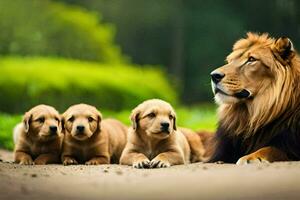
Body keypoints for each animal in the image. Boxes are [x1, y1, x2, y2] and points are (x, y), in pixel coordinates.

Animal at [209, 32, 300, 164]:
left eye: (251, 59)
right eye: (230, 60)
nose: (214, 75)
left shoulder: (291, 145)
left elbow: (271, 149)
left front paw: (251, 157)